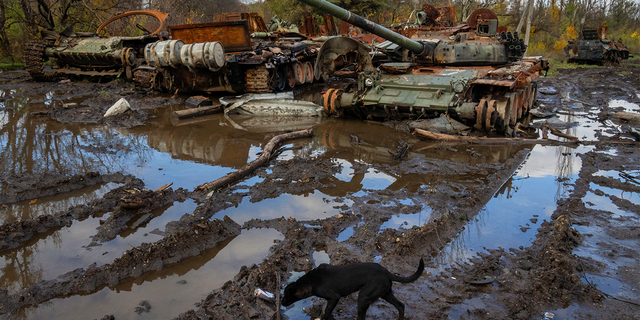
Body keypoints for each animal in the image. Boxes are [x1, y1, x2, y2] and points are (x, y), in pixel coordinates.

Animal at [282, 258, 422, 318]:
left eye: (286, 295)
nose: (282, 302)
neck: (311, 281)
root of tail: (387, 272)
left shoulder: (334, 297)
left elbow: (327, 312)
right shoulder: (331, 300)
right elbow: (328, 312)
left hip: (364, 297)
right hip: (385, 293)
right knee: (401, 306)